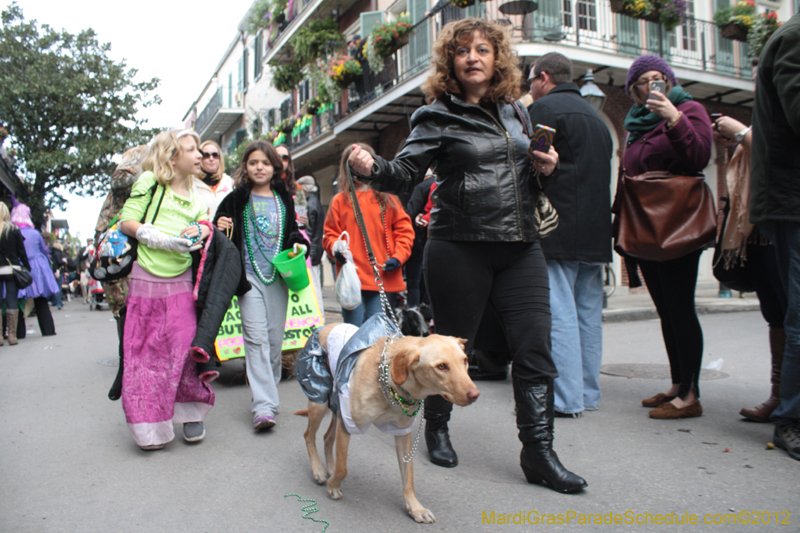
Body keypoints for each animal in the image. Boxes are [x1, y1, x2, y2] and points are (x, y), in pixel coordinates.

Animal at [298, 322, 476, 520]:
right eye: (442, 366)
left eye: (465, 361)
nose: (474, 394)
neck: (390, 385)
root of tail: (327, 325)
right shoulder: (348, 424)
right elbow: (343, 467)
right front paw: (333, 486)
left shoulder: (402, 433)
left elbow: (409, 477)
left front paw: (415, 507)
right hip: (319, 400)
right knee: (308, 435)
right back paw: (318, 470)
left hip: (336, 408)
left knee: (327, 437)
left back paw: (329, 467)